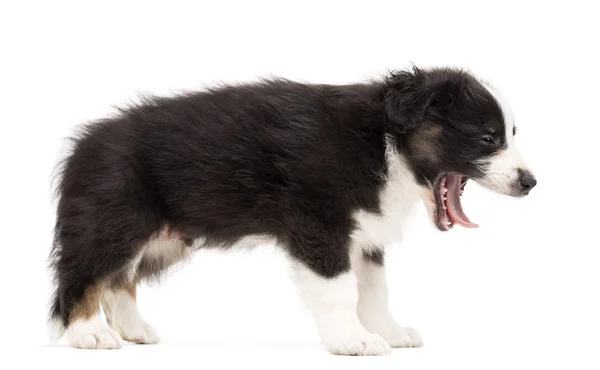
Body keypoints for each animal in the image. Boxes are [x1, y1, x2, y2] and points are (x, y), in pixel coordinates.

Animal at [47, 66, 536, 356]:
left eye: (509, 135)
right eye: (488, 139)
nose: (530, 182)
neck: (383, 143)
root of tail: (81, 148)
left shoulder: (365, 231)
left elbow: (375, 289)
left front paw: (389, 333)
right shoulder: (319, 223)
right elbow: (339, 290)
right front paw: (353, 341)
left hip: (163, 238)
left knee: (119, 279)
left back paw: (133, 329)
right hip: (115, 218)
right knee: (84, 275)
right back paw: (88, 334)